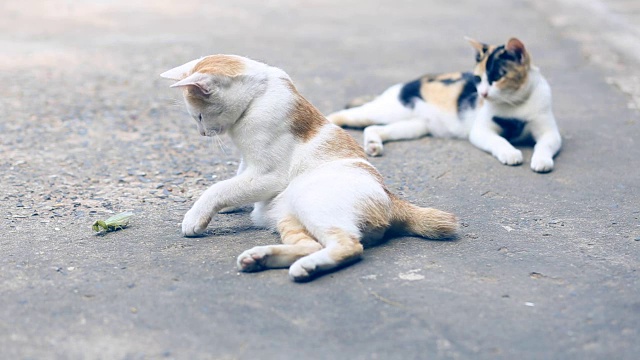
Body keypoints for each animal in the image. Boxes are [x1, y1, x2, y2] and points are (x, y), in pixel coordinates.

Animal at [161, 54, 460, 282]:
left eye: (199, 116)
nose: (201, 133)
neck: (259, 95)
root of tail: (393, 199)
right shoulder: (248, 163)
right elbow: (234, 181)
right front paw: (231, 206)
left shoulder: (267, 175)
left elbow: (219, 188)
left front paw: (197, 215)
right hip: (289, 218)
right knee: (311, 244)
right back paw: (259, 258)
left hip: (310, 201)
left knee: (349, 245)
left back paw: (305, 267)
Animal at [328, 38, 564, 173]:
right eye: (478, 79)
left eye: (497, 78)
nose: (482, 94)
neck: (515, 103)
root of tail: (411, 81)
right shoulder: (481, 131)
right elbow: (499, 140)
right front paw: (510, 153)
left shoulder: (550, 132)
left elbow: (544, 145)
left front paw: (541, 160)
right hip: (386, 111)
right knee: (343, 115)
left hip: (413, 126)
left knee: (374, 128)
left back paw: (374, 145)